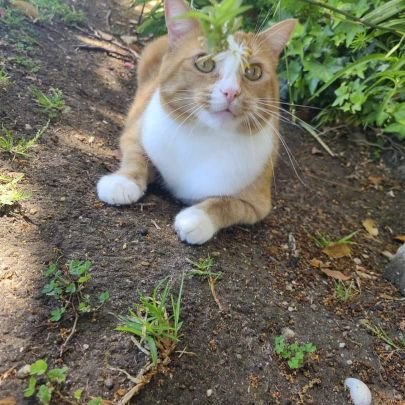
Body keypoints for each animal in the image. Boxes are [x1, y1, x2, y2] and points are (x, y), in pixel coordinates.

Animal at [96, 0, 296, 243]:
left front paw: (197, 219)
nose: (231, 92)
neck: (206, 136)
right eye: (205, 63)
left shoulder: (257, 204)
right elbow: (136, 158)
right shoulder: (135, 132)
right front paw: (123, 182)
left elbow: (226, 204)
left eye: (253, 71)